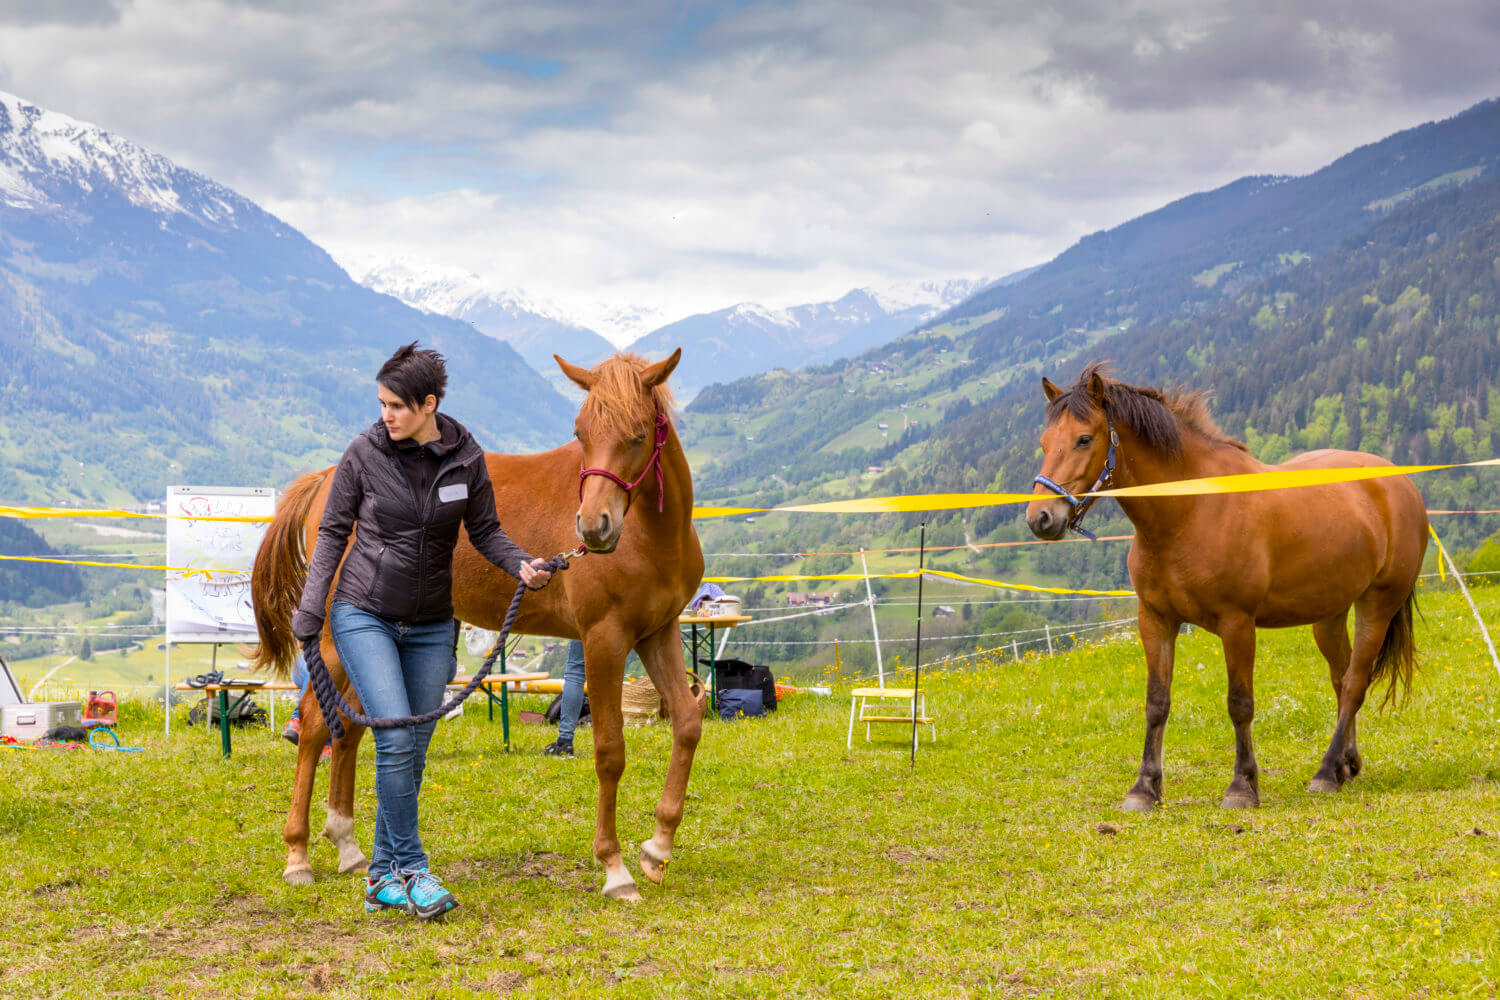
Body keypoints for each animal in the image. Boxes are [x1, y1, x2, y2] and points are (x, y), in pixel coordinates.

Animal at [252, 350, 708, 899]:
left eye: (638, 435)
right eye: (580, 432)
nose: (593, 527)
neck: (651, 536)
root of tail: (327, 479)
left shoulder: (657, 632)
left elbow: (687, 721)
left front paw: (657, 849)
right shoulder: (605, 640)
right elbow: (609, 749)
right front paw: (615, 868)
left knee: (352, 733)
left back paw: (349, 847)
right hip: (333, 644)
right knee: (317, 729)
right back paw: (297, 855)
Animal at [1020, 367, 1428, 815]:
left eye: (1083, 439)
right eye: (1045, 442)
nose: (1041, 518)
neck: (1191, 510)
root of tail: (1400, 483)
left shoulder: (1238, 624)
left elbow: (1240, 704)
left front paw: (1242, 786)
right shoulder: (1155, 620)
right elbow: (1156, 703)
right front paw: (1144, 788)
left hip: (1378, 603)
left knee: (1355, 682)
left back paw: (1324, 772)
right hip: (1330, 614)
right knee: (1341, 678)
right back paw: (1344, 766)